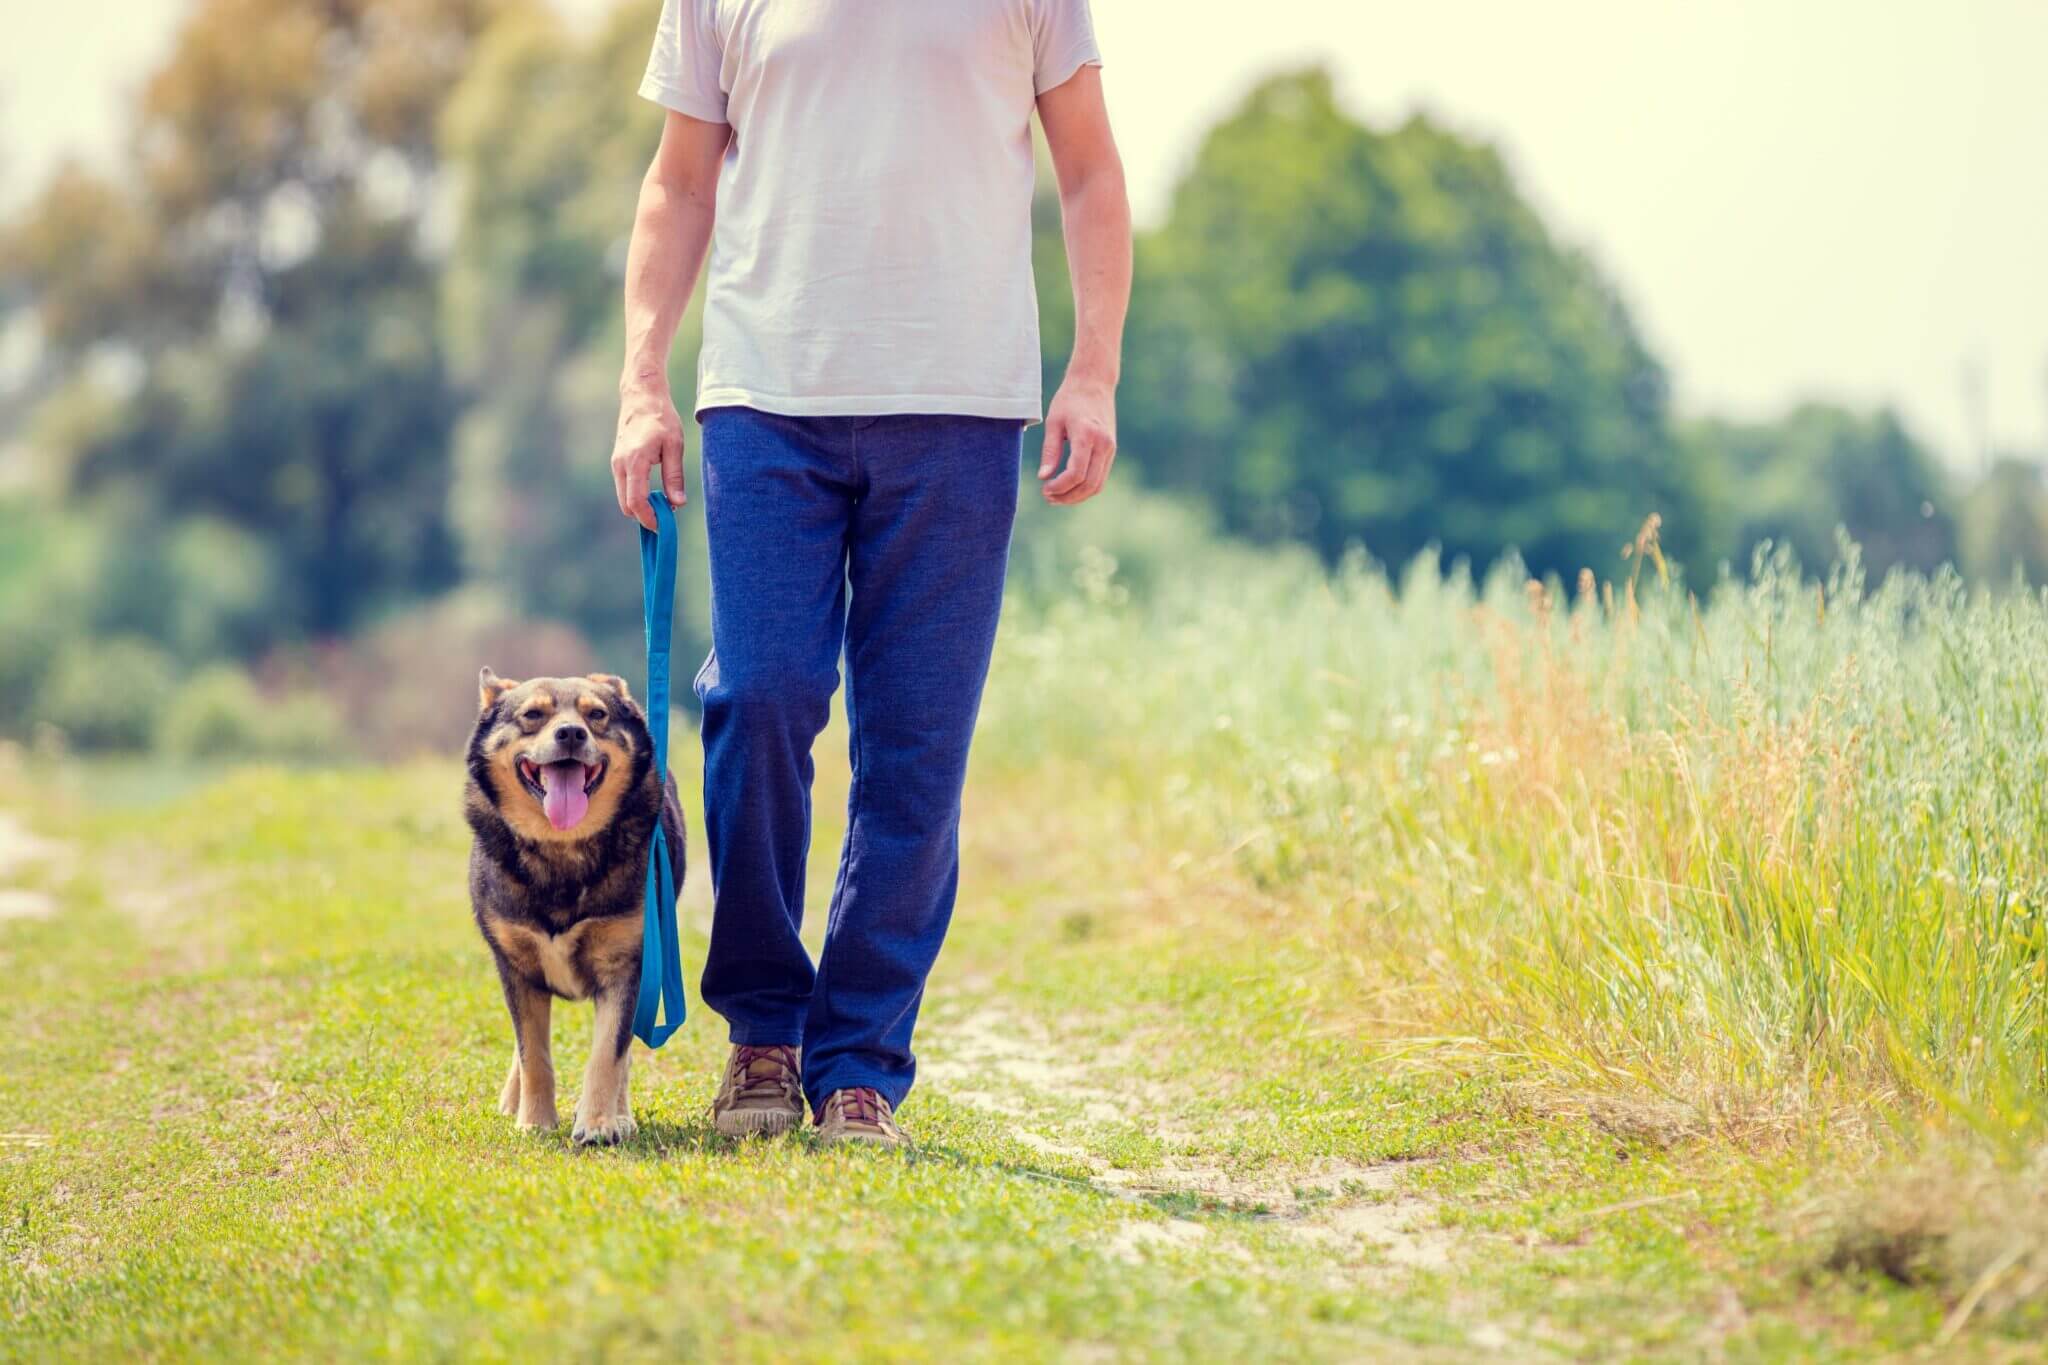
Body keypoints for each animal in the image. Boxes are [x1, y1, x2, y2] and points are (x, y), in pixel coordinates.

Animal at [464, 667, 688, 1146]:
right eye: (532, 714)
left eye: (597, 715)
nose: (570, 733)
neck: (561, 848)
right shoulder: (515, 965)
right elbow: (532, 1053)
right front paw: (533, 1120)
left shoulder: (629, 964)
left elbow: (609, 1054)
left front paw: (600, 1123)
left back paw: (620, 1114)